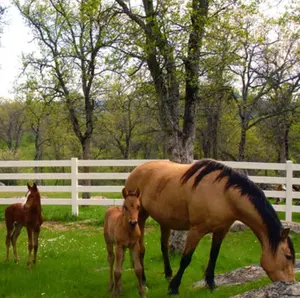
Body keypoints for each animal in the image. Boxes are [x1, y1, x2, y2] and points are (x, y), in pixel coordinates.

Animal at [124, 159, 296, 294]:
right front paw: (174, 287)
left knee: (164, 246)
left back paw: (167, 274)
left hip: (165, 220)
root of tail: (136, 170)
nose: (291, 283)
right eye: (288, 256)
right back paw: (144, 281)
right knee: (140, 249)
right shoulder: (196, 230)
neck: (224, 194)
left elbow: (214, 255)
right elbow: (186, 259)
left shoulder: (221, 230)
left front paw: (211, 284)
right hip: (140, 217)